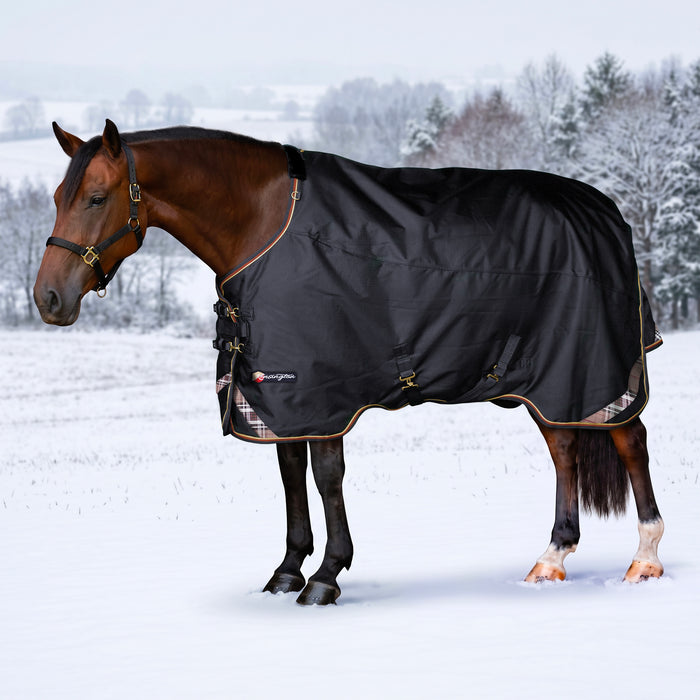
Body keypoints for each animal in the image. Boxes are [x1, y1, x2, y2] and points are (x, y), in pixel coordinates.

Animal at [33, 119, 665, 605]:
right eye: (59, 198)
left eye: (96, 198)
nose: (48, 299)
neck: (264, 224)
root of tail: (604, 209)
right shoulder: (276, 394)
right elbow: (290, 476)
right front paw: (286, 573)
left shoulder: (325, 389)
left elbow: (326, 477)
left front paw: (326, 577)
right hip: (545, 379)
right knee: (564, 447)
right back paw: (551, 559)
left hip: (595, 367)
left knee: (630, 440)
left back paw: (644, 560)